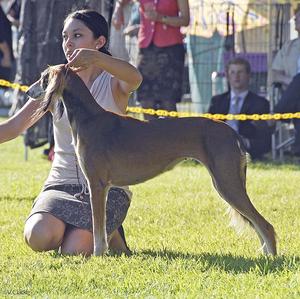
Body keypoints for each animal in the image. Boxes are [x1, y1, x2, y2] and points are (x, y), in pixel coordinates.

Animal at [27, 65, 278, 258]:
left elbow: (98, 229)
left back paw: (271, 257)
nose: (28, 91)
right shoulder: (101, 186)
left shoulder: (97, 185)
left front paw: (98, 256)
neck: (89, 117)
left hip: (227, 182)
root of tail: (231, 132)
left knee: (265, 224)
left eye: (43, 78)